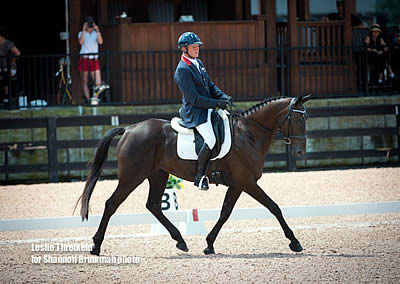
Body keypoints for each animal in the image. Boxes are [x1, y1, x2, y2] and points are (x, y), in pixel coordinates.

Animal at [77, 93, 310, 255]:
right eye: (297, 119)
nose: (300, 152)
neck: (248, 134)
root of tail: (129, 129)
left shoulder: (237, 184)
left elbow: (225, 213)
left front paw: (209, 244)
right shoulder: (247, 182)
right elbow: (274, 207)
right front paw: (295, 242)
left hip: (158, 175)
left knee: (153, 205)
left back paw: (180, 240)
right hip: (132, 177)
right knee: (111, 204)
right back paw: (96, 246)